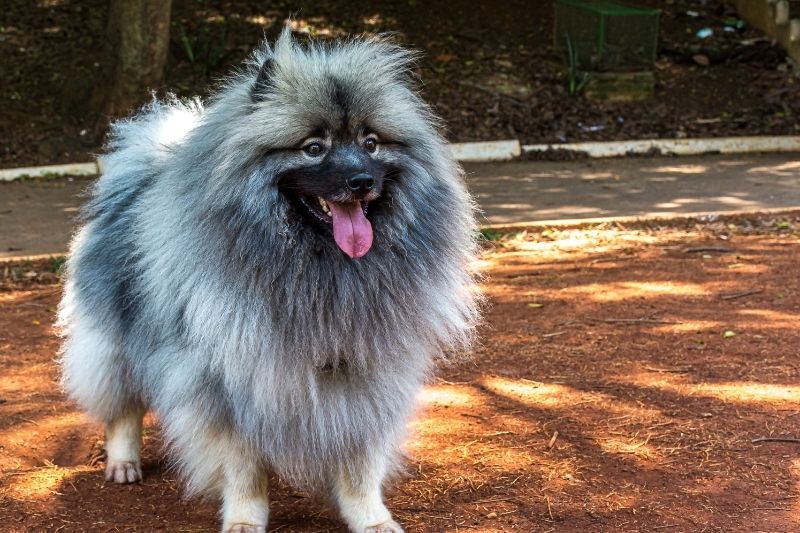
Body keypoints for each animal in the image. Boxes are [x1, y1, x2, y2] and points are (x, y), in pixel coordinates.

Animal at [59, 29, 482, 532]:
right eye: (313, 147)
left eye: (371, 143)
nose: (361, 180)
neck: (321, 269)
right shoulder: (226, 382)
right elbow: (242, 464)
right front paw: (245, 517)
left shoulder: (367, 371)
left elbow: (360, 457)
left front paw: (370, 516)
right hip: (114, 341)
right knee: (121, 407)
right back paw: (123, 462)